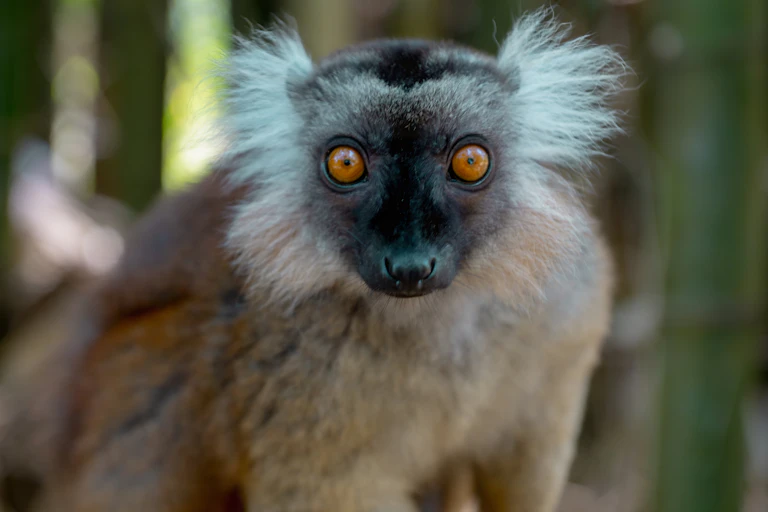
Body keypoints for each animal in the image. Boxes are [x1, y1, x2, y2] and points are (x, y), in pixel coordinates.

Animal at [0, 8, 625, 512]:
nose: (409, 264)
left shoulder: (563, 320)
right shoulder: (295, 366)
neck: (436, 320)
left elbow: (525, 467)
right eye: (345, 164)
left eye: (470, 162)